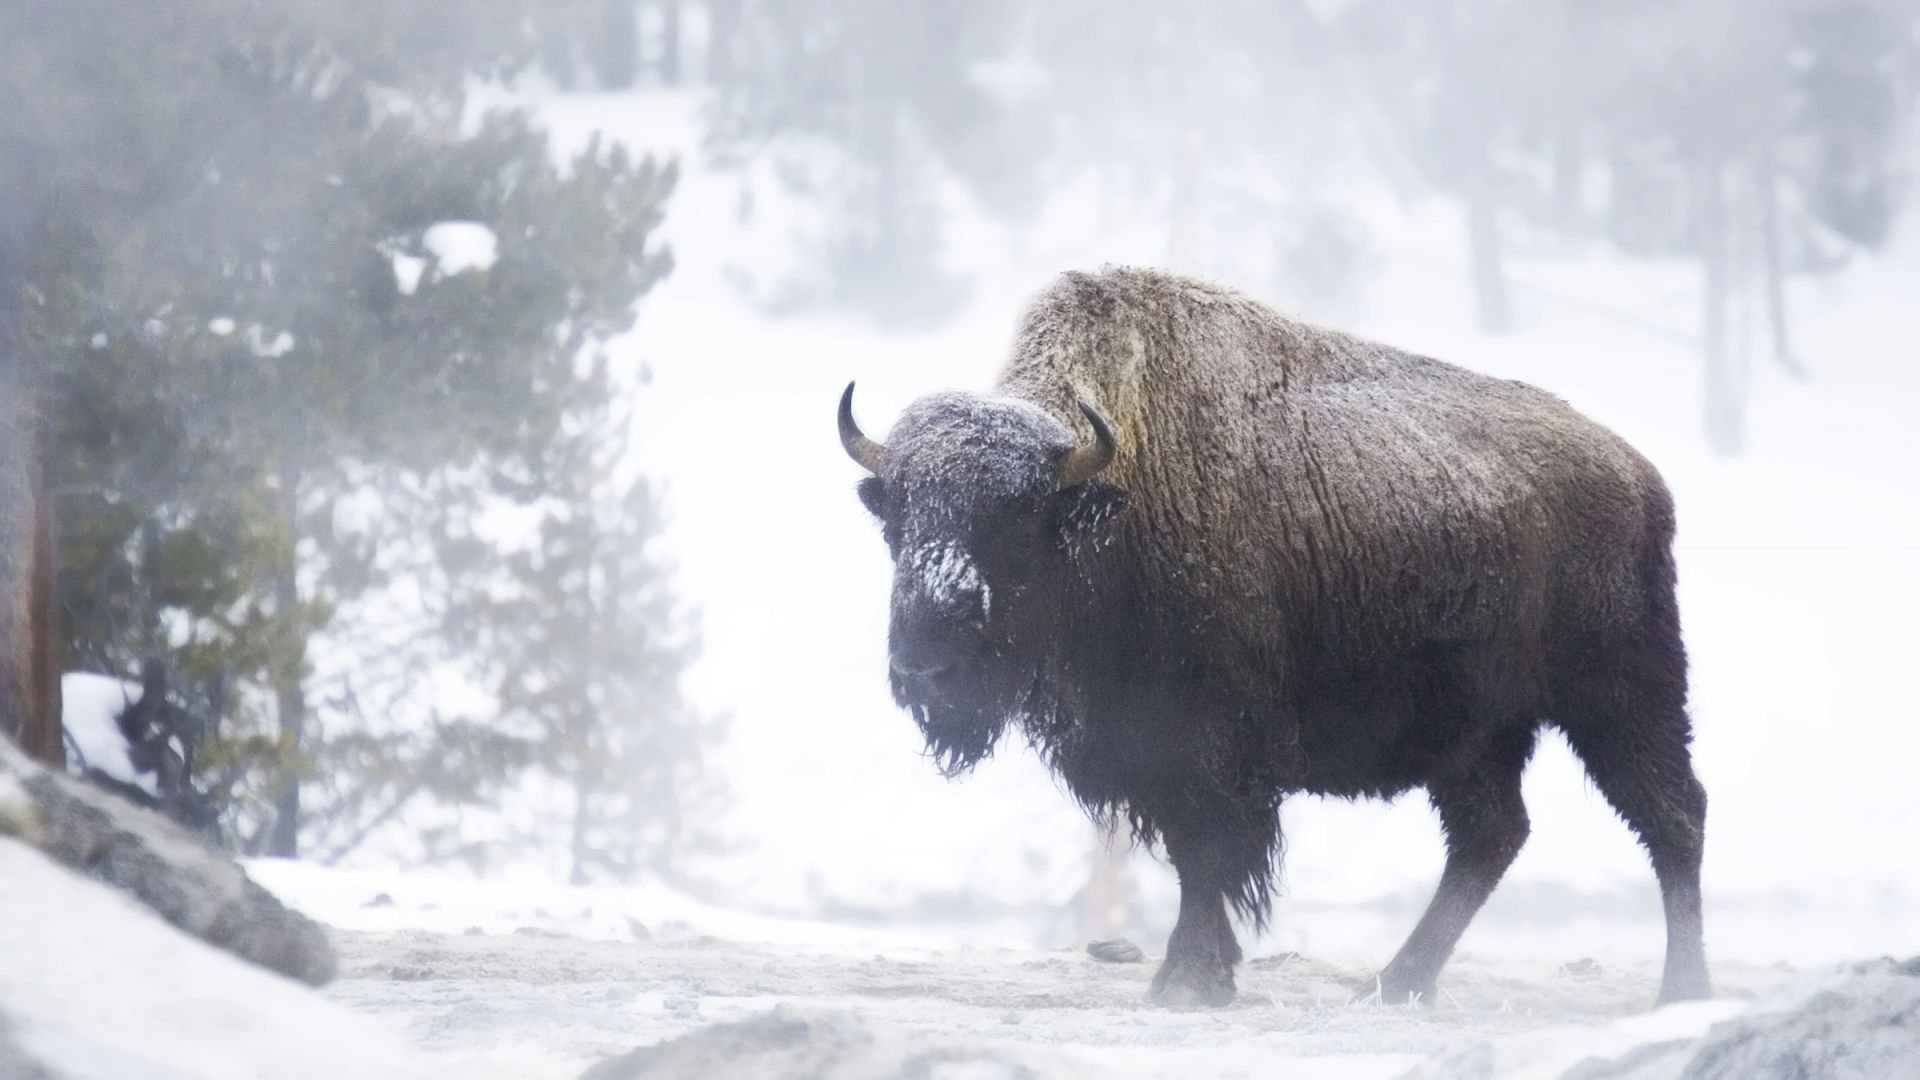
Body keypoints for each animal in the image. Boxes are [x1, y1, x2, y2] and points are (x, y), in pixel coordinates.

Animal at [840, 265, 1712, 1006]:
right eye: (896, 520)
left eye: (1016, 525)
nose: (923, 669)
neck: (1107, 503)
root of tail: (1641, 478)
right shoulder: (1147, 751)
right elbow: (1194, 856)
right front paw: (1203, 972)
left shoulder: (1206, 747)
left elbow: (1205, 854)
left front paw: (1188, 981)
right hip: (1476, 735)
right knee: (1492, 836)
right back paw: (1396, 983)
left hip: (1620, 697)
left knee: (1672, 816)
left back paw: (1682, 990)